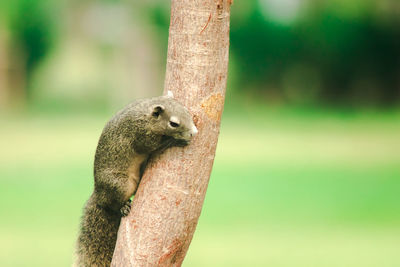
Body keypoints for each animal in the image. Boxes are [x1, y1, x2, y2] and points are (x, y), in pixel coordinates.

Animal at [74, 92, 197, 267]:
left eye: (188, 112)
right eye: (173, 123)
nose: (194, 132)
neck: (146, 115)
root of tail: (98, 194)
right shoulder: (141, 137)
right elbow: (155, 146)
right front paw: (176, 140)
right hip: (121, 184)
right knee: (112, 204)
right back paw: (123, 206)